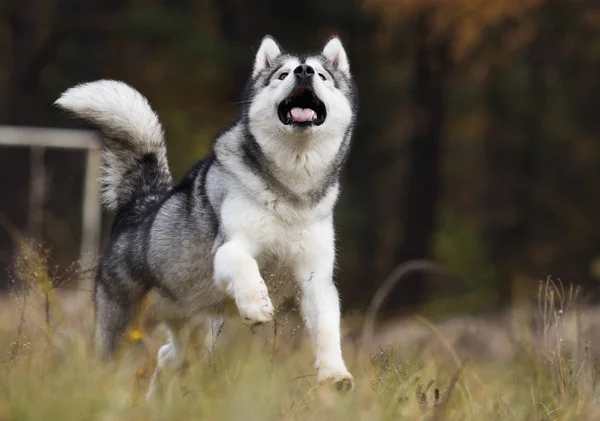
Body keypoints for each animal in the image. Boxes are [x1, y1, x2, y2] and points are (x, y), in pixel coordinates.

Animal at [55, 33, 356, 394]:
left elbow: (326, 326)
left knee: (167, 357)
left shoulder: (316, 277)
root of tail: (142, 202)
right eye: (282, 75)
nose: (303, 71)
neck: (291, 190)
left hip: (199, 334)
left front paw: (335, 372)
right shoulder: (229, 247)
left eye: (321, 75)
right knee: (116, 364)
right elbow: (246, 266)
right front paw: (257, 305)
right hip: (125, 332)